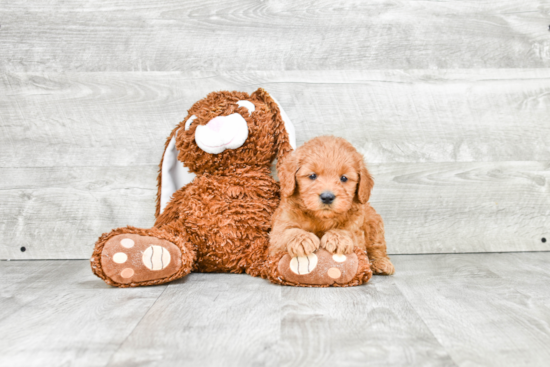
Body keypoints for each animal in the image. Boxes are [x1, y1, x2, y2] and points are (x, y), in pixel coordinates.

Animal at [270, 137, 394, 276]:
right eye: (312, 176)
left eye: (344, 178)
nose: (327, 197)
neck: (321, 218)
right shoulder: (279, 228)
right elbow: (287, 231)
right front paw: (302, 239)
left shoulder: (356, 230)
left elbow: (349, 232)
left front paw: (338, 237)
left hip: (373, 222)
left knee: (377, 247)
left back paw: (381, 263)